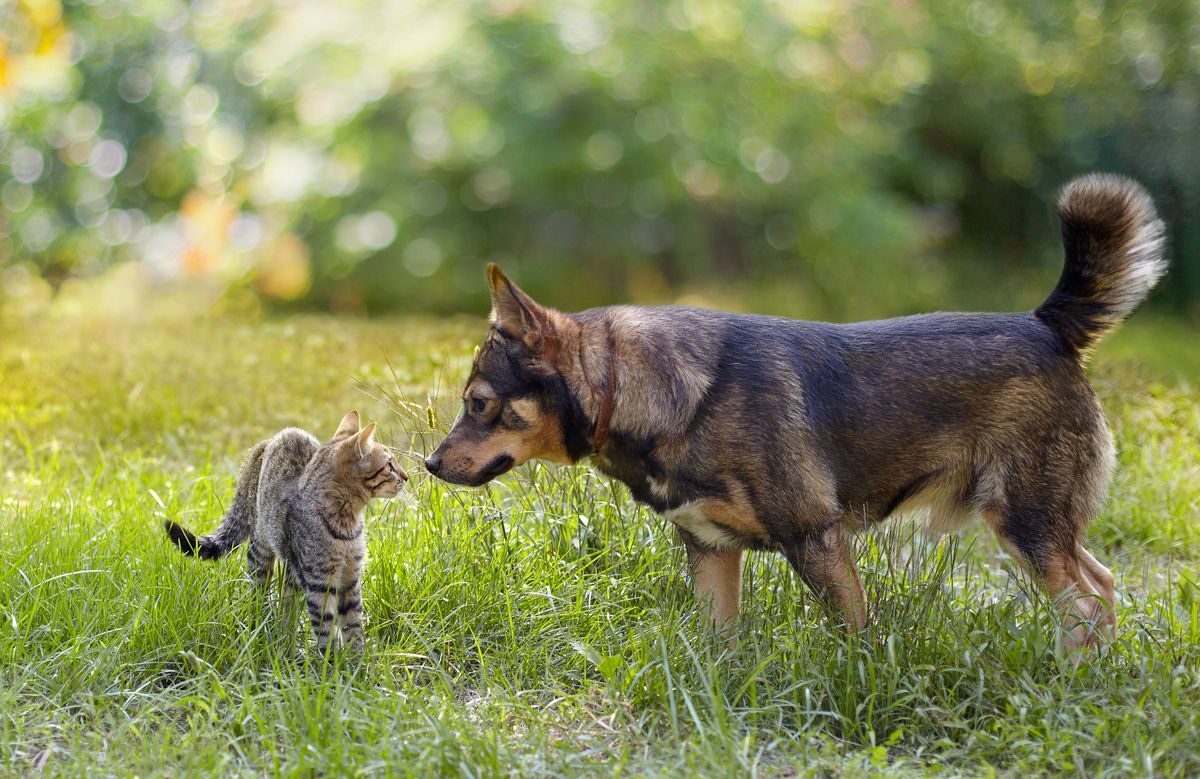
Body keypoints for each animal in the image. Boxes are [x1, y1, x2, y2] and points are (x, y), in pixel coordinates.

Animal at [164, 410, 408, 652]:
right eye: (390, 465)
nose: (406, 476)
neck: (347, 524)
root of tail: (269, 440)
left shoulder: (350, 578)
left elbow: (353, 627)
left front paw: (357, 660)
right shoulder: (319, 583)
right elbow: (326, 629)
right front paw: (332, 660)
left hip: (293, 569)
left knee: (287, 603)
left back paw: (287, 640)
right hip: (261, 552)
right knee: (260, 595)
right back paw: (262, 629)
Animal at [422, 172, 1161, 648]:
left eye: (479, 404)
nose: (428, 464)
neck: (653, 393)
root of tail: (1046, 325)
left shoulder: (817, 540)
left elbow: (856, 637)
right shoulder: (712, 552)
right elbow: (716, 647)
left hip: (1025, 520)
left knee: (1087, 604)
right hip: (1037, 526)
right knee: (1102, 590)